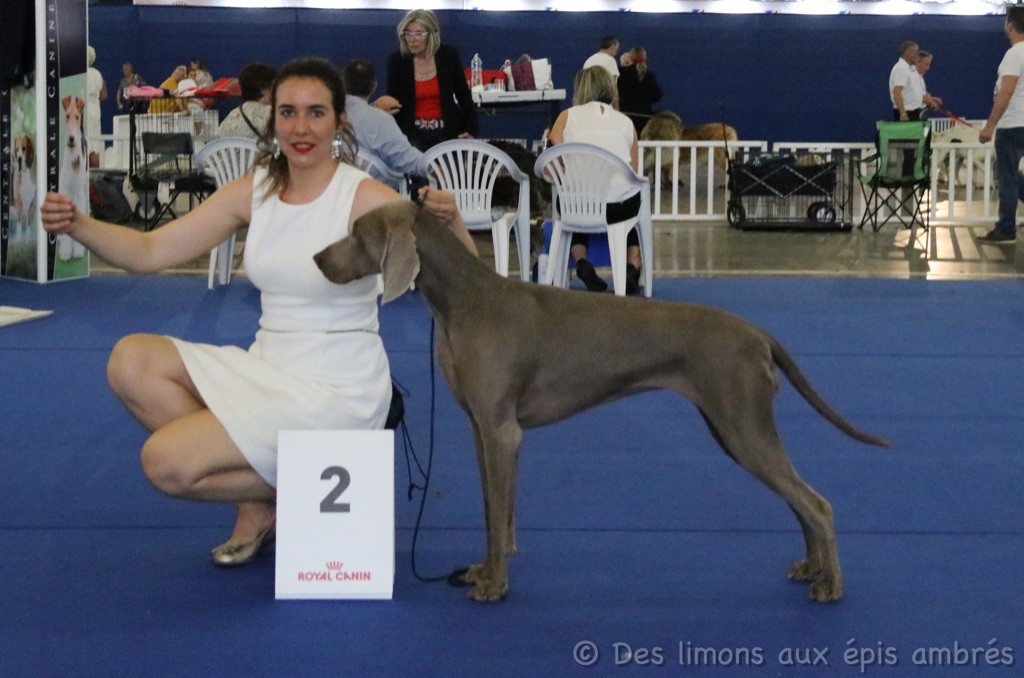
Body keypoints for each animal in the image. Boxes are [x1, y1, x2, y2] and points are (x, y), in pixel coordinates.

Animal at [313, 200, 888, 606]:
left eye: (357, 232)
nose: (317, 258)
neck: (461, 302)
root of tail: (757, 333)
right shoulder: (482, 430)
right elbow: (492, 512)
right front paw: (483, 568)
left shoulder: (501, 431)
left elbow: (499, 515)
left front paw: (494, 585)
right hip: (733, 429)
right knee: (799, 500)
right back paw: (812, 569)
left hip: (742, 424)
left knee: (816, 502)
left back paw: (830, 586)